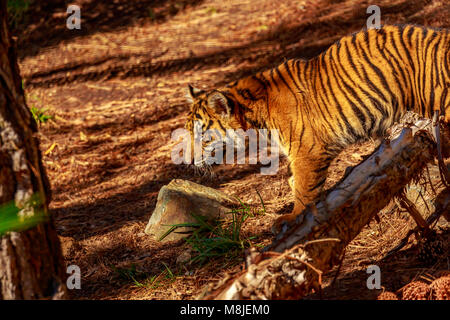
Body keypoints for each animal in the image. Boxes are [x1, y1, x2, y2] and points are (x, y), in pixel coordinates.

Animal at [184, 23, 450, 232]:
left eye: (202, 137)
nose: (187, 161)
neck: (254, 118)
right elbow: (295, 182)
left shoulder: (306, 152)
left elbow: (304, 188)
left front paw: (292, 218)